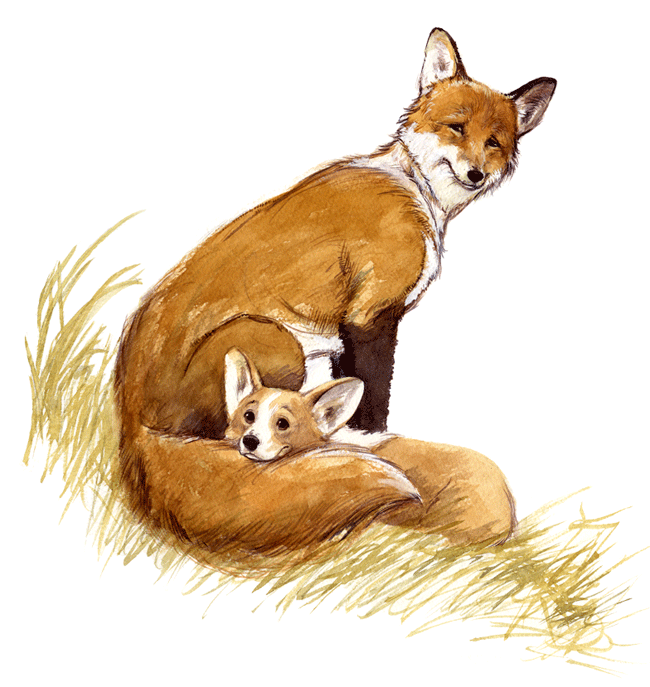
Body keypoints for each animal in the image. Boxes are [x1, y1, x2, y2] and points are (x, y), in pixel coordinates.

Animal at [115, 27, 552, 556]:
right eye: (455, 127)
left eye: (494, 142)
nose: (476, 174)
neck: (416, 188)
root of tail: (127, 411)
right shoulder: (371, 316)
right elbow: (375, 404)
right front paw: (370, 445)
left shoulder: (348, 332)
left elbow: (350, 396)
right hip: (279, 343)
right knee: (221, 438)